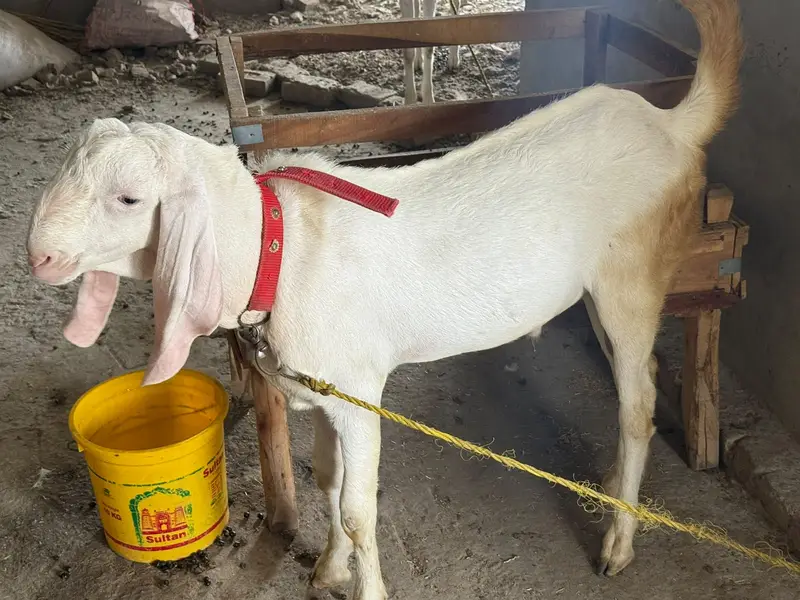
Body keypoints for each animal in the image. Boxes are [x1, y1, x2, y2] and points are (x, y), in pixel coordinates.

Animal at [26, 1, 741, 598]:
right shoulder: (321, 390)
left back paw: (618, 542)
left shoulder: (358, 393)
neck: (276, 250)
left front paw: (361, 583)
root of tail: (669, 123)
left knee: (638, 403)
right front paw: (327, 568)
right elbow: (326, 479)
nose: (39, 256)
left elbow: (358, 510)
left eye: (129, 198)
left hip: (633, 273)